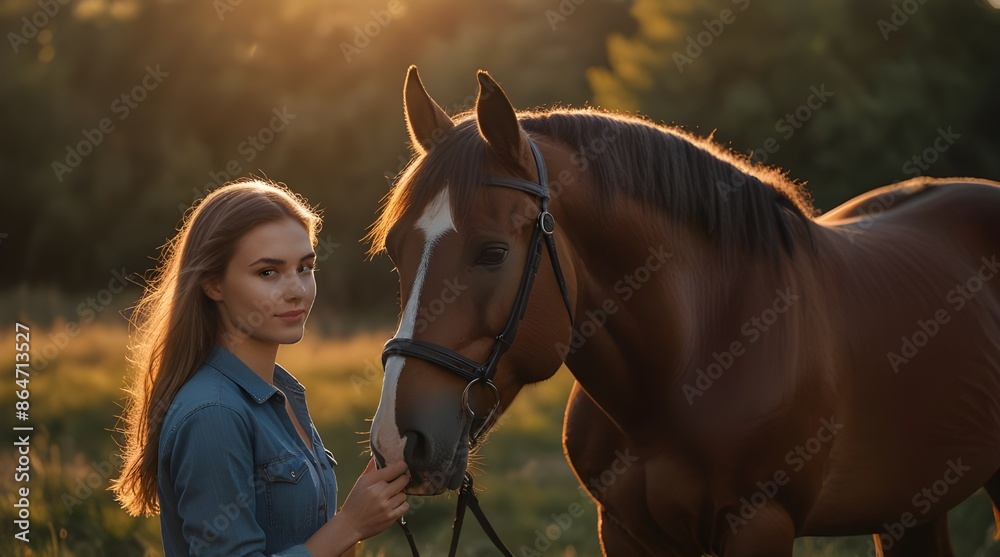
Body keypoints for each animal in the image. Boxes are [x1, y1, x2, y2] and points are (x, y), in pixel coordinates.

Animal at [367, 65, 1000, 556]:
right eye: (395, 251)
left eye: (493, 252)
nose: (397, 444)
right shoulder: (624, 531)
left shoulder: (760, 526)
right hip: (912, 505)